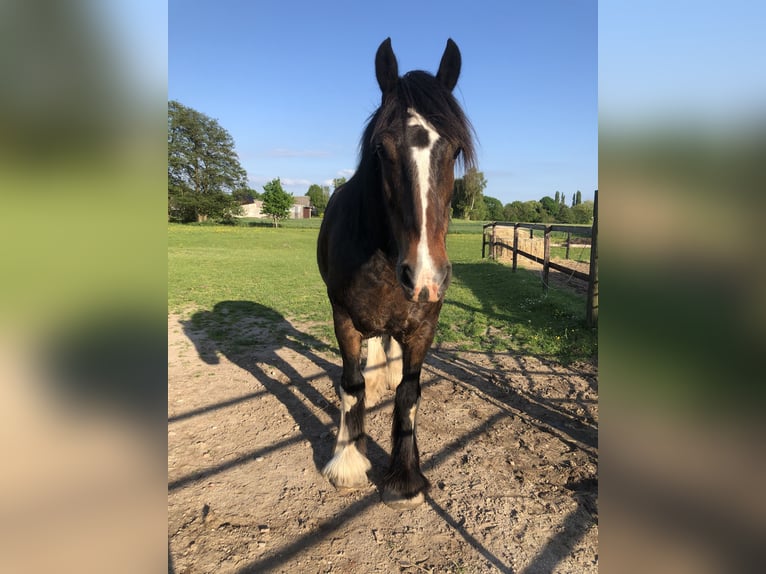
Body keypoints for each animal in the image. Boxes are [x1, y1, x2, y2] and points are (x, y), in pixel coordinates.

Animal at [316, 37, 476, 509]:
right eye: (381, 150)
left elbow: (409, 392)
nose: (425, 277)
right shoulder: (344, 317)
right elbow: (350, 384)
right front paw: (348, 461)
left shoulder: (424, 323)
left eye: (455, 150)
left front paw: (405, 476)